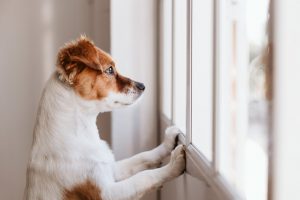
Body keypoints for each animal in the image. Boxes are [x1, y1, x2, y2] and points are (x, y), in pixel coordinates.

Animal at [24, 36, 185, 200]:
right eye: (110, 70)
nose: (143, 86)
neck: (81, 134)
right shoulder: (106, 193)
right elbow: (144, 177)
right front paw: (174, 165)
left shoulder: (110, 168)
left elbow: (143, 157)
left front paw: (168, 142)